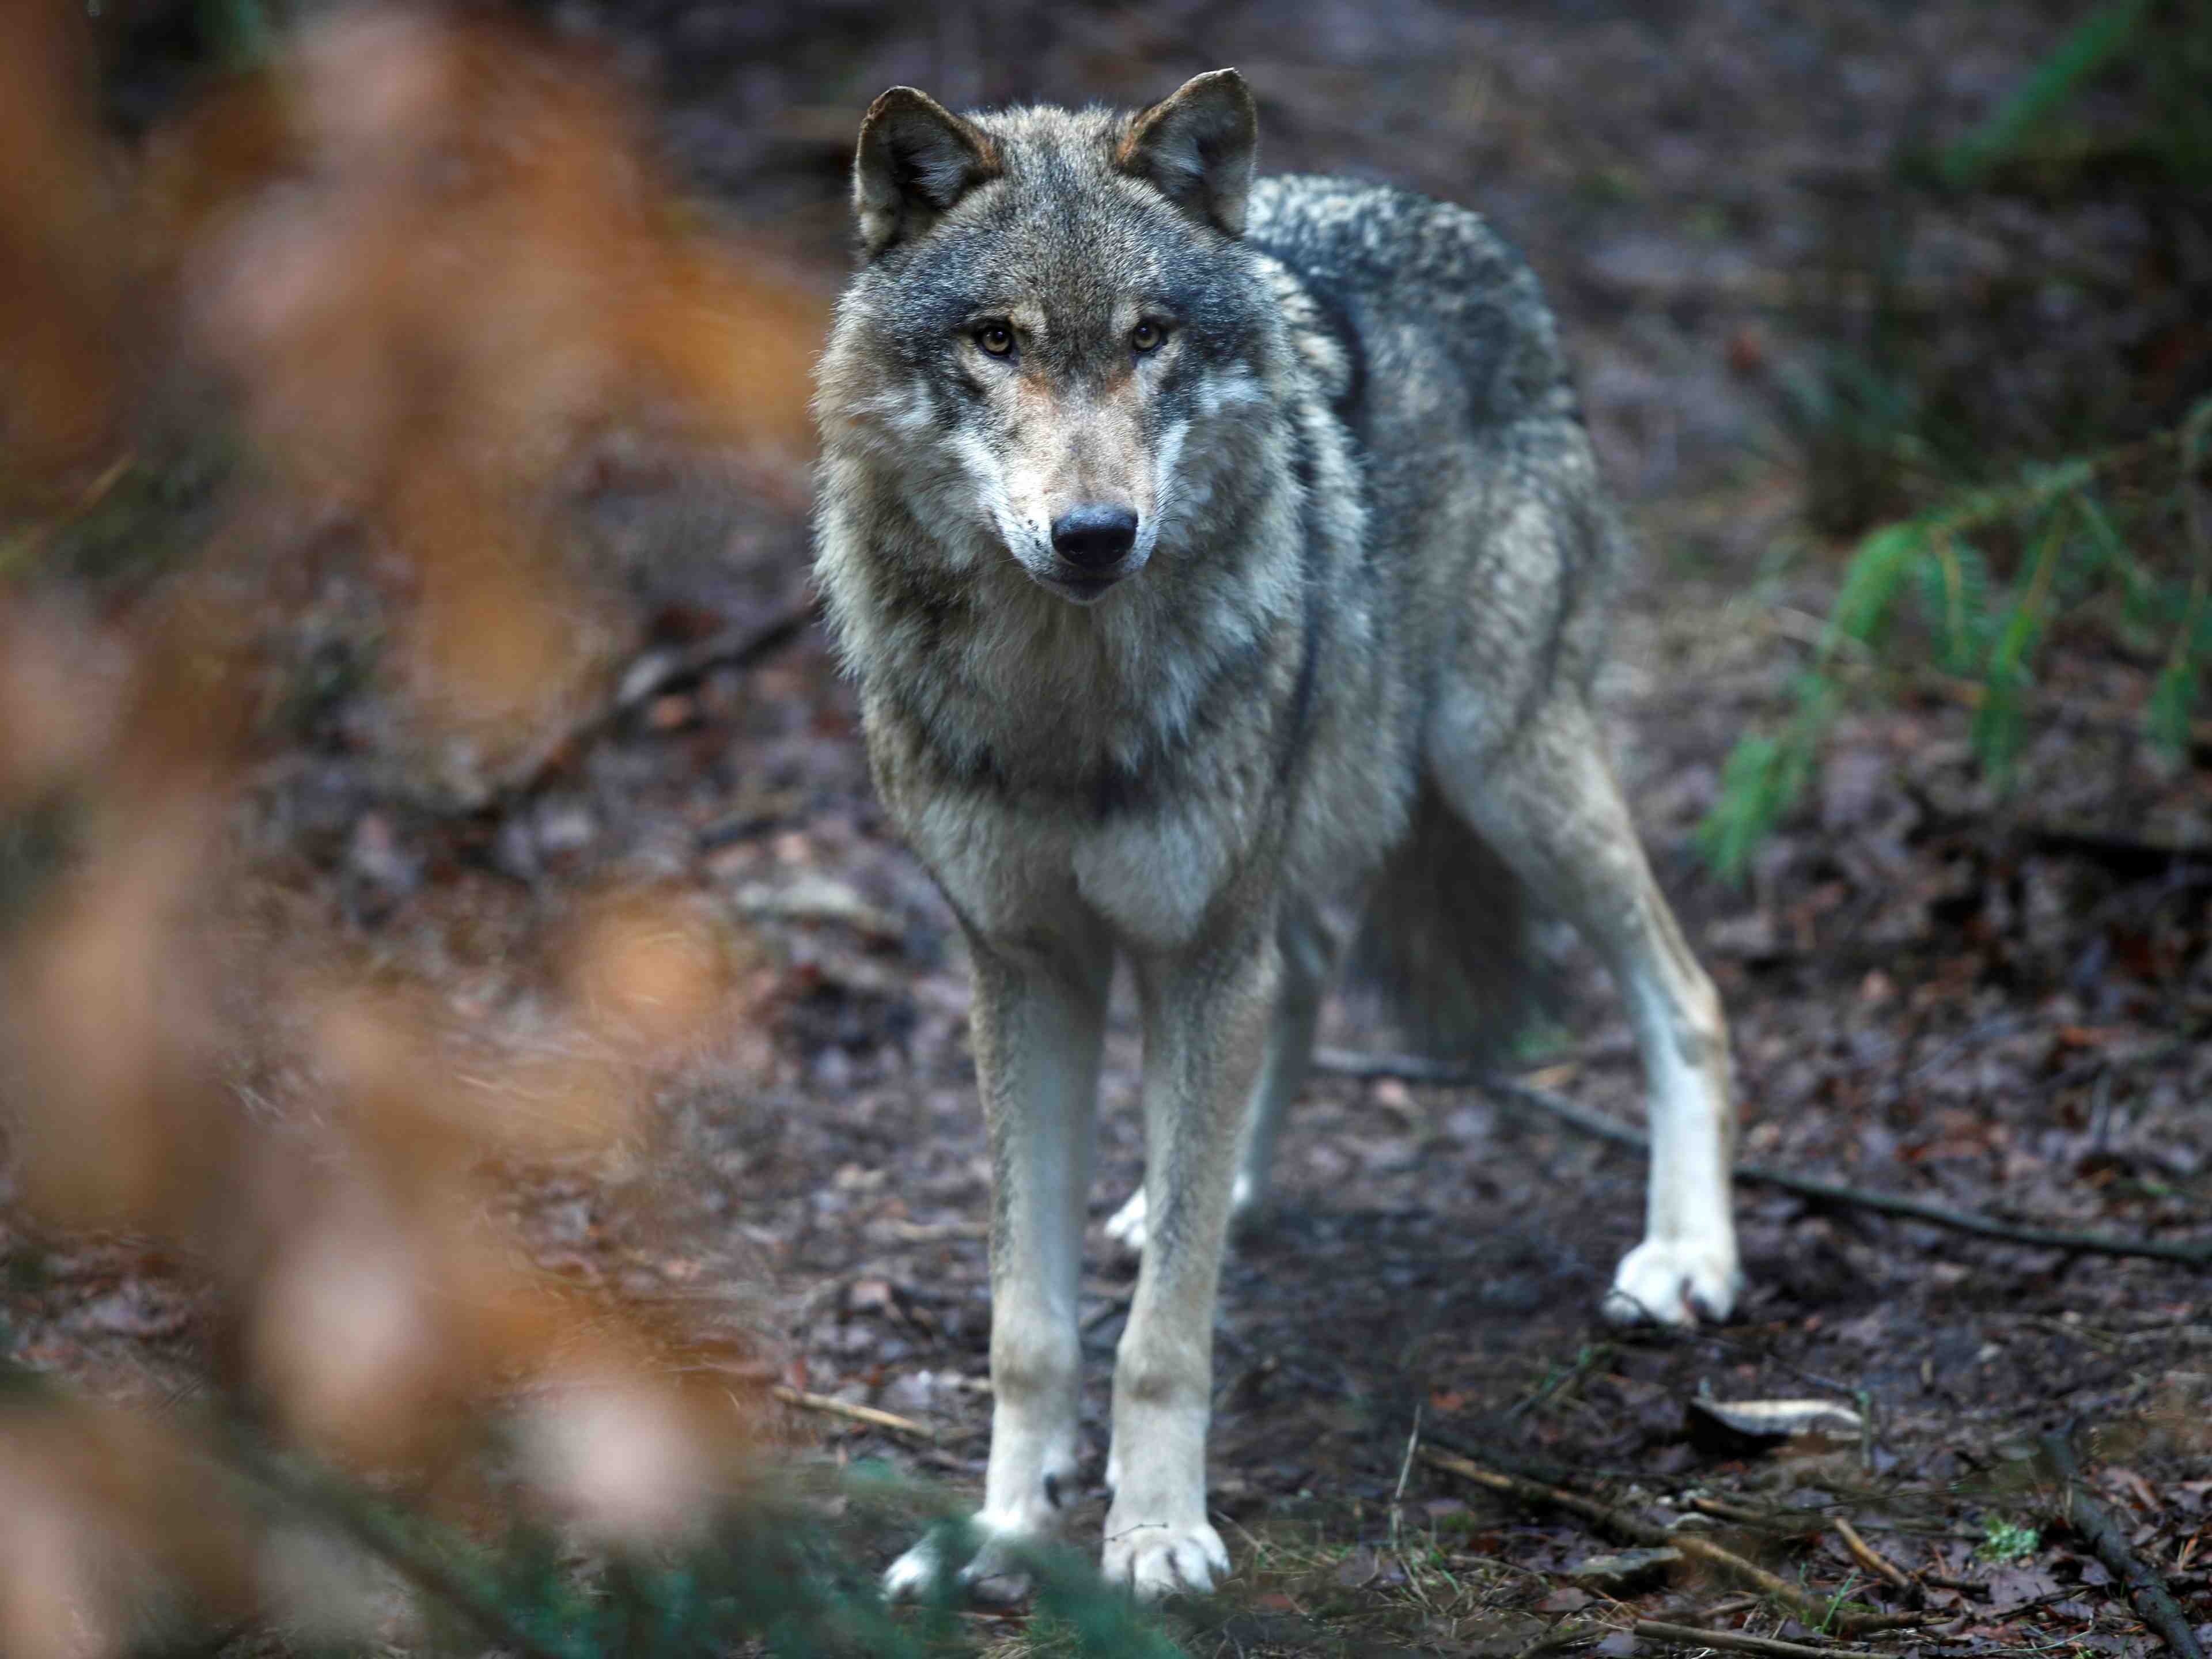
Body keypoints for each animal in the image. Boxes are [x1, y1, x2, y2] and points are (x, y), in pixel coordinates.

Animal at [811, 69, 1741, 1601]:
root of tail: (1460, 222)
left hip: (1497, 765)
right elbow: (1029, 1322)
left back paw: (1685, 1256)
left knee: (1687, 993)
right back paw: (1190, 1192)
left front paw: (1154, 1531)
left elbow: (1161, 1335)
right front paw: (998, 1532)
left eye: (1149, 338)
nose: (1094, 533)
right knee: (1292, 992)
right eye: (996, 340)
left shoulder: (1192, 941)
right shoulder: (1024, 964)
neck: (1064, 698)